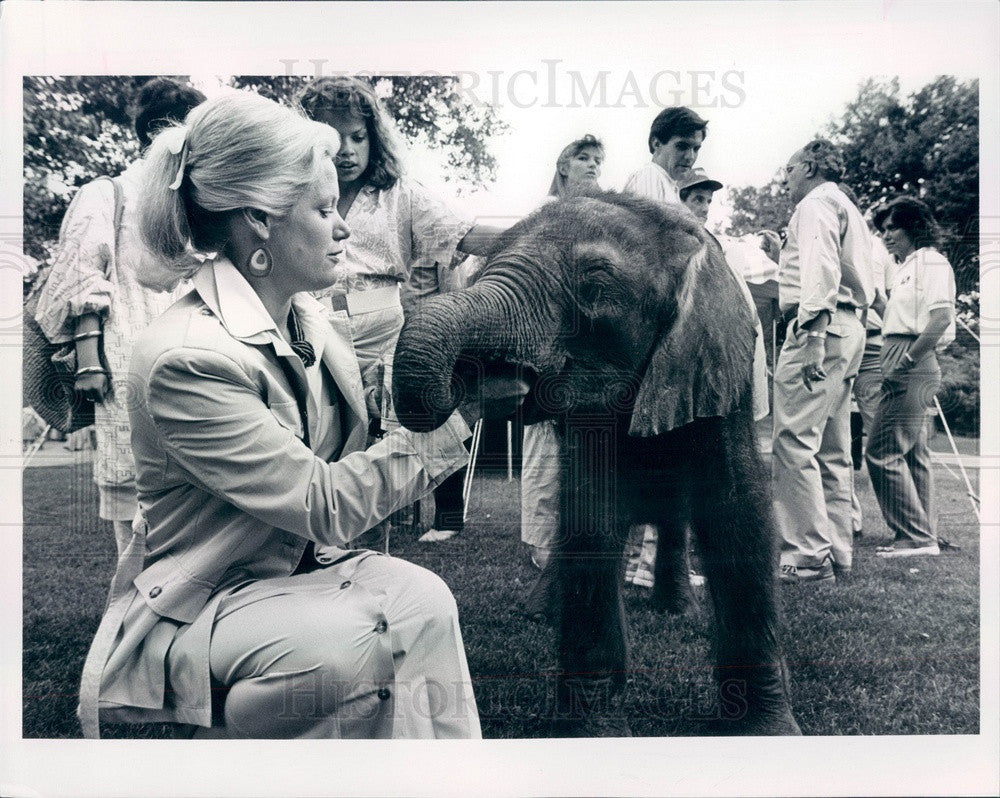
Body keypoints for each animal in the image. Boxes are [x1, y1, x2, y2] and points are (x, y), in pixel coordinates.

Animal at [394, 189, 800, 736]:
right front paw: (595, 730)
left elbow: (738, 517)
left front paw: (767, 730)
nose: (486, 375)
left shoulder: (719, 381)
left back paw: (675, 612)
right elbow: (590, 520)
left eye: (596, 284)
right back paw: (544, 610)